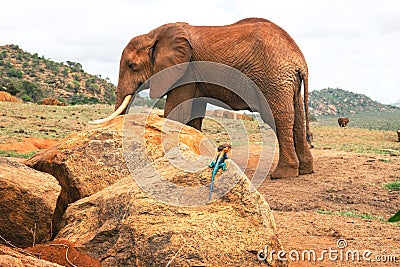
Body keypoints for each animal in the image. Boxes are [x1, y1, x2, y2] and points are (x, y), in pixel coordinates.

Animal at [90, 17, 312, 179]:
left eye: (131, 65)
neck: (153, 35)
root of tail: (300, 60)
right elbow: (194, 114)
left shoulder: (185, 70)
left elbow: (177, 109)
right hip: (288, 81)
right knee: (298, 118)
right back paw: (305, 170)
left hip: (273, 78)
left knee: (279, 117)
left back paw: (282, 174)